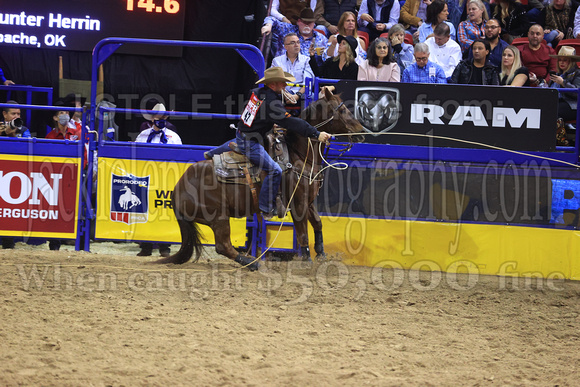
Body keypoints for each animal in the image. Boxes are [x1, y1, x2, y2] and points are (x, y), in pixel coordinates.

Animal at [156, 87, 360, 270]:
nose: (360, 130)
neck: (299, 155)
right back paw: (252, 263)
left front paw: (322, 254)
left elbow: (318, 223)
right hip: (218, 216)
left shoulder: (309, 202)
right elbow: (302, 234)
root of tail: (178, 188)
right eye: (342, 110)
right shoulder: (298, 204)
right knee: (223, 245)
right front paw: (308, 262)